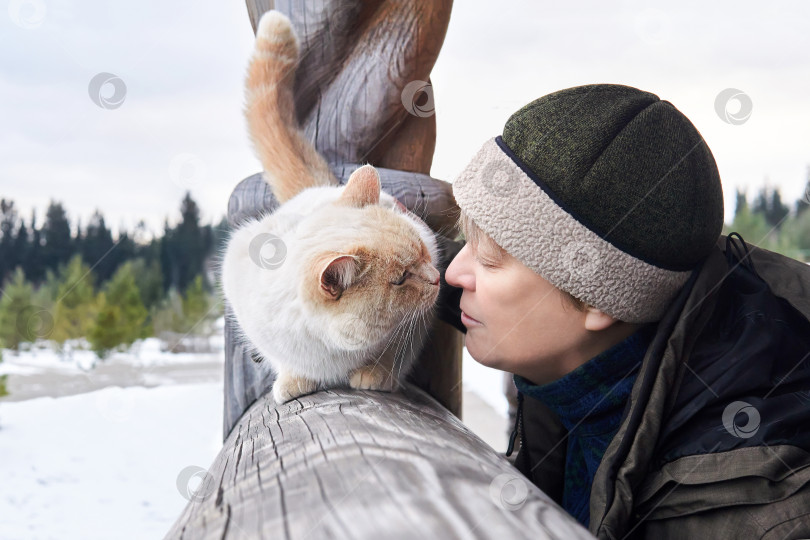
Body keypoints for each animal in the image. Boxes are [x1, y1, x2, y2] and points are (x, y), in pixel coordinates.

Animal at [219, 10, 442, 402]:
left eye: (423, 254)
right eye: (400, 279)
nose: (437, 278)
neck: (333, 352)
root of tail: (318, 188)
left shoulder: (416, 324)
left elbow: (395, 351)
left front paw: (375, 374)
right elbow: (284, 360)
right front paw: (293, 380)